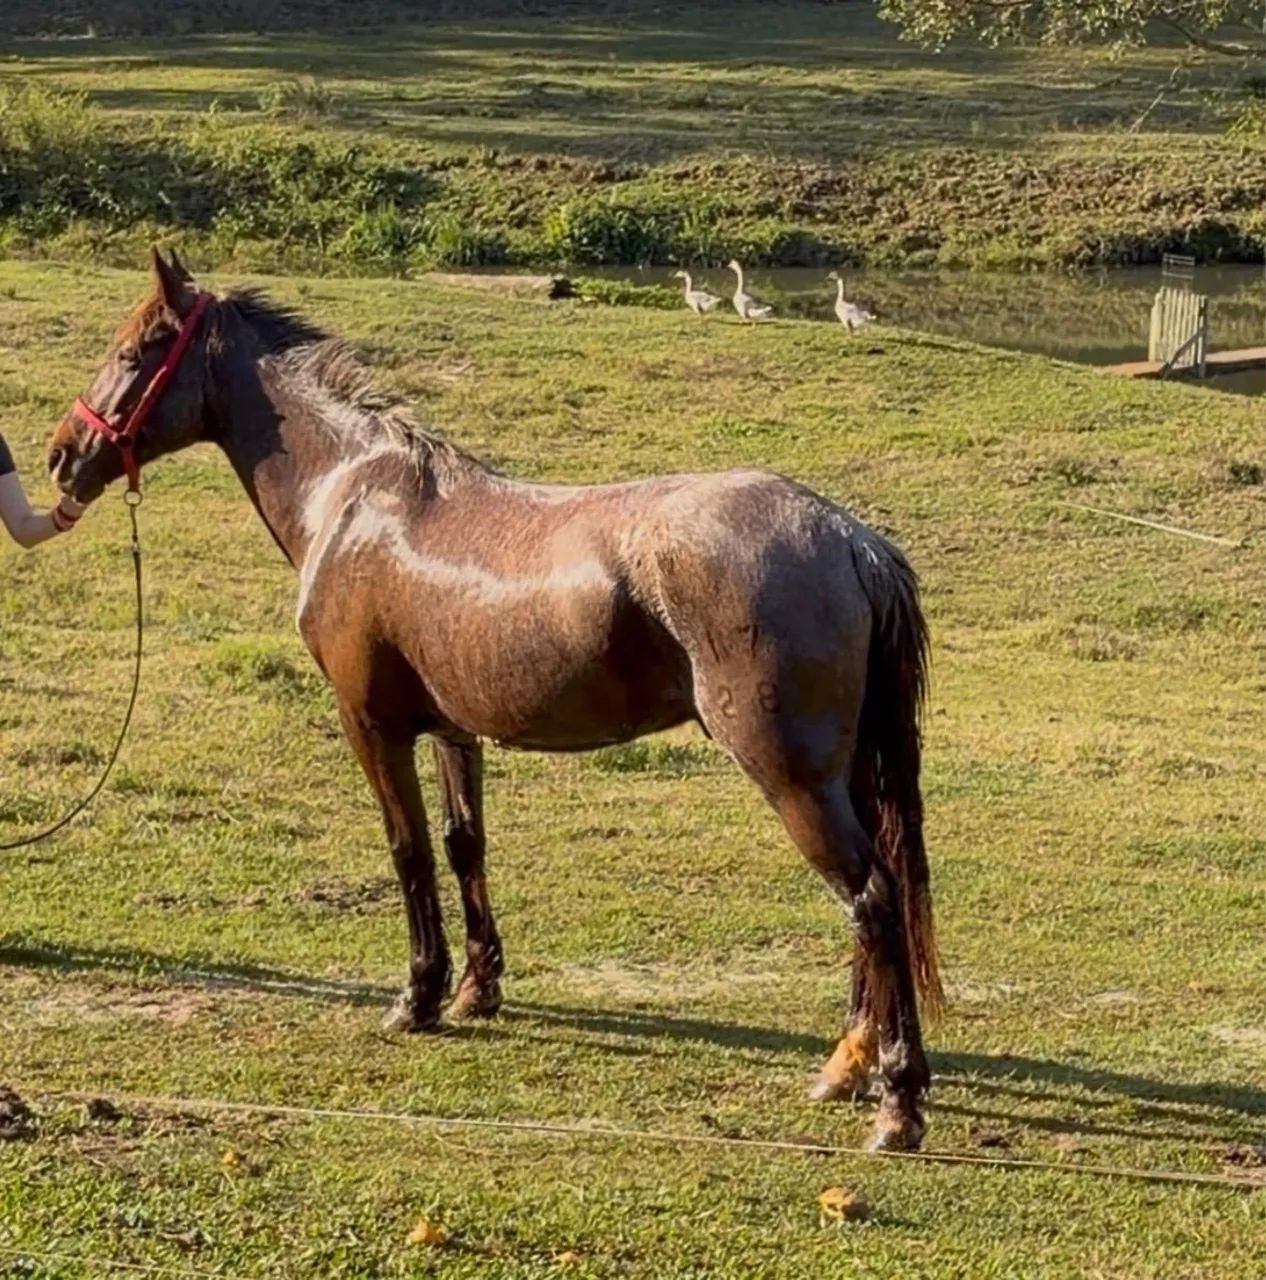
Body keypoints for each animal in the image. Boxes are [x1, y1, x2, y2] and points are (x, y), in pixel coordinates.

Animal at [48, 250, 942, 1152]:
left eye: (136, 351)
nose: (63, 454)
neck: (352, 494)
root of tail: (854, 541)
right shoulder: (454, 730)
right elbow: (463, 844)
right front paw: (478, 988)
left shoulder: (371, 726)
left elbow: (407, 851)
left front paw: (418, 996)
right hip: (846, 777)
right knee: (877, 901)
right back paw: (848, 1067)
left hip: (794, 780)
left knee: (871, 901)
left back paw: (897, 1103)